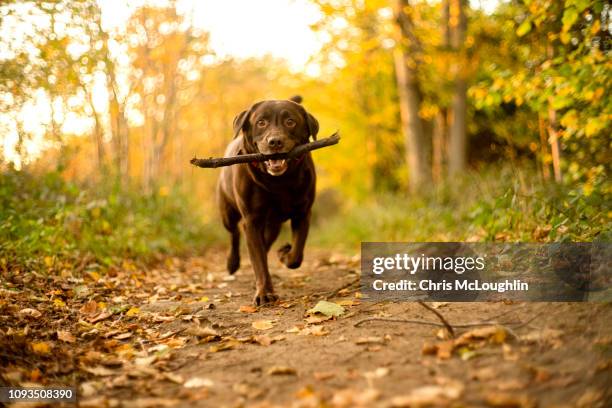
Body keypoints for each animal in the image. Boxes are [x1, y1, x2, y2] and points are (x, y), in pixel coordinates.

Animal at [216, 95, 320, 304]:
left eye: (290, 121)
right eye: (261, 122)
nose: (275, 142)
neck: (279, 182)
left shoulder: (303, 213)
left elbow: (296, 254)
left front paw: (284, 254)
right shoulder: (251, 221)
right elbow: (258, 259)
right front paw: (264, 293)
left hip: (273, 225)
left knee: (265, 244)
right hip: (227, 213)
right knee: (235, 233)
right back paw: (232, 263)